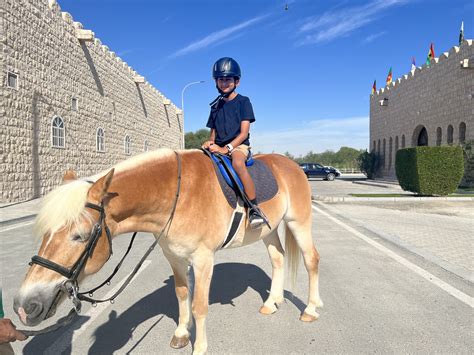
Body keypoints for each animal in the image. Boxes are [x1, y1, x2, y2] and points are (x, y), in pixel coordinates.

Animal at [13, 149, 322, 354]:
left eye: (80, 236)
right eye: (45, 233)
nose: (25, 305)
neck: (177, 194)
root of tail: (292, 165)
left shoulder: (203, 259)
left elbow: (199, 305)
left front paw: (199, 347)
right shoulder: (174, 257)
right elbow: (182, 294)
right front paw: (182, 333)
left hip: (298, 222)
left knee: (311, 260)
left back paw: (310, 309)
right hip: (268, 231)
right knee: (278, 259)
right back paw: (272, 302)